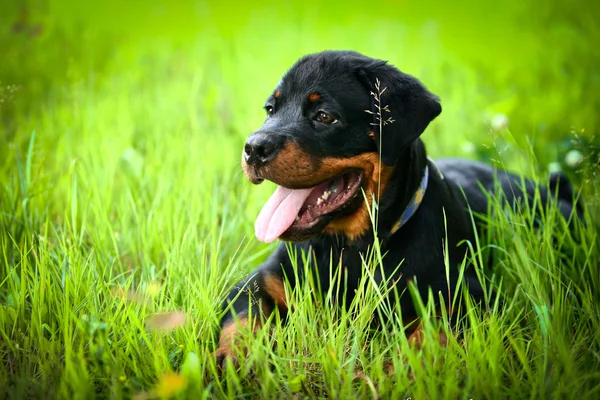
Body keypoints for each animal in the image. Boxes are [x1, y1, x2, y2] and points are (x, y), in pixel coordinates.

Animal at [214, 49, 576, 362]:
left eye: (324, 116)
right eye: (270, 109)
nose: (254, 148)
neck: (346, 248)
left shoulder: (470, 296)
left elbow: (433, 332)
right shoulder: (258, 282)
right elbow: (240, 321)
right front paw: (230, 362)